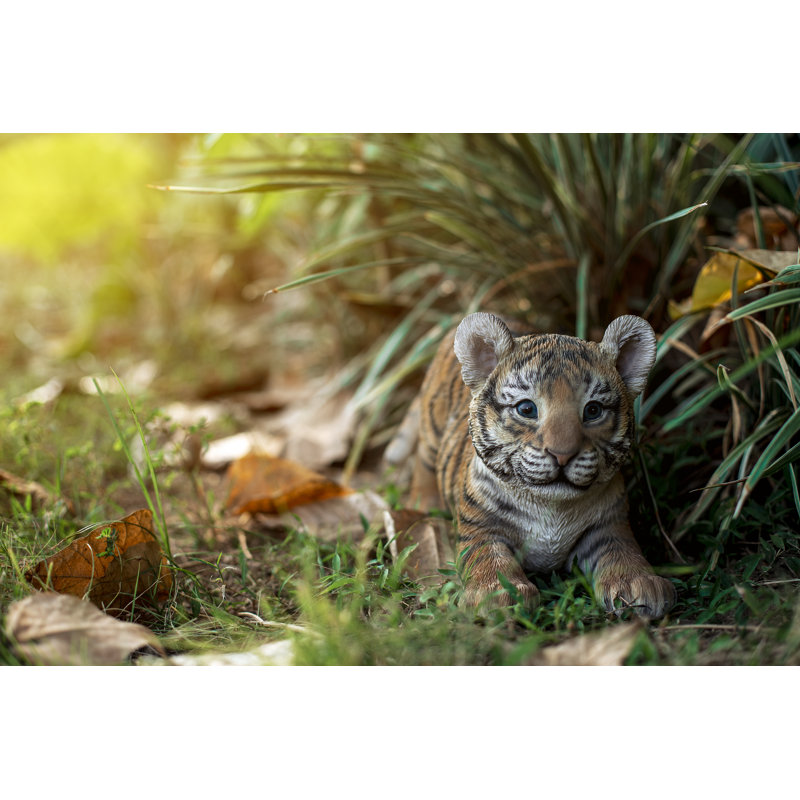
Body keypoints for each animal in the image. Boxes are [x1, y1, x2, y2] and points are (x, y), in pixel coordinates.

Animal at [385, 311, 676, 618]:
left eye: (593, 410)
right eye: (527, 409)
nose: (563, 455)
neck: (552, 506)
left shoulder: (610, 525)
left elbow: (623, 552)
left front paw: (640, 583)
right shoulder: (480, 526)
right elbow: (490, 558)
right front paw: (497, 595)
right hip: (432, 427)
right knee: (423, 460)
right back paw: (426, 503)